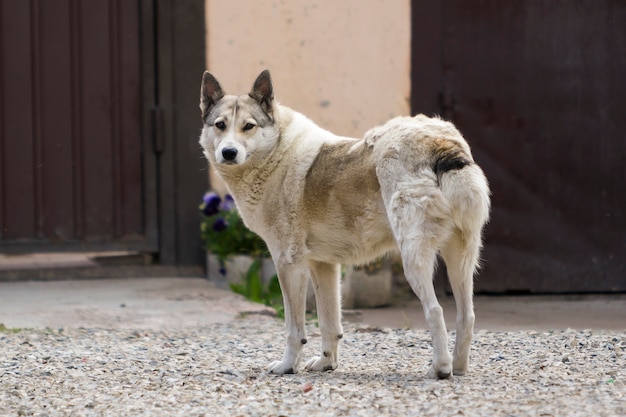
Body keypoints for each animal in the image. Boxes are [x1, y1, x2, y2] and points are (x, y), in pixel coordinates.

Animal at [197, 70, 490, 376]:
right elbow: (330, 323)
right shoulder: (323, 265)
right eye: (220, 125)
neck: (275, 154)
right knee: (467, 315)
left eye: (249, 126)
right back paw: (458, 367)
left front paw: (288, 366)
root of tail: (442, 144)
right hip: (461, 260)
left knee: (435, 311)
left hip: (413, 260)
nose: (228, 153)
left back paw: (441, 368)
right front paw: (327, 363)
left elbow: (294, 328)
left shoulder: (288, 264)